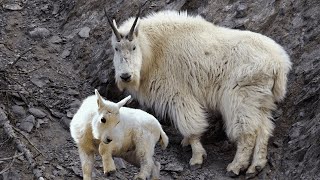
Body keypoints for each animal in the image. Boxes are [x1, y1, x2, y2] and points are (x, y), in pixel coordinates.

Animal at [106, 8, 292, 177]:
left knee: (248, 131)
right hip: (261, 99)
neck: (154, 48)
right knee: (264, 129)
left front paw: (197, 158)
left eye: (134, 47)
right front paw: (187, 144)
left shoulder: (178, 93)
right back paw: (256, 166)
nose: (125, 76)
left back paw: (236, 166)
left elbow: (191, 127)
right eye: (115, 48)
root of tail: (279, 63)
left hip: (241, 96)